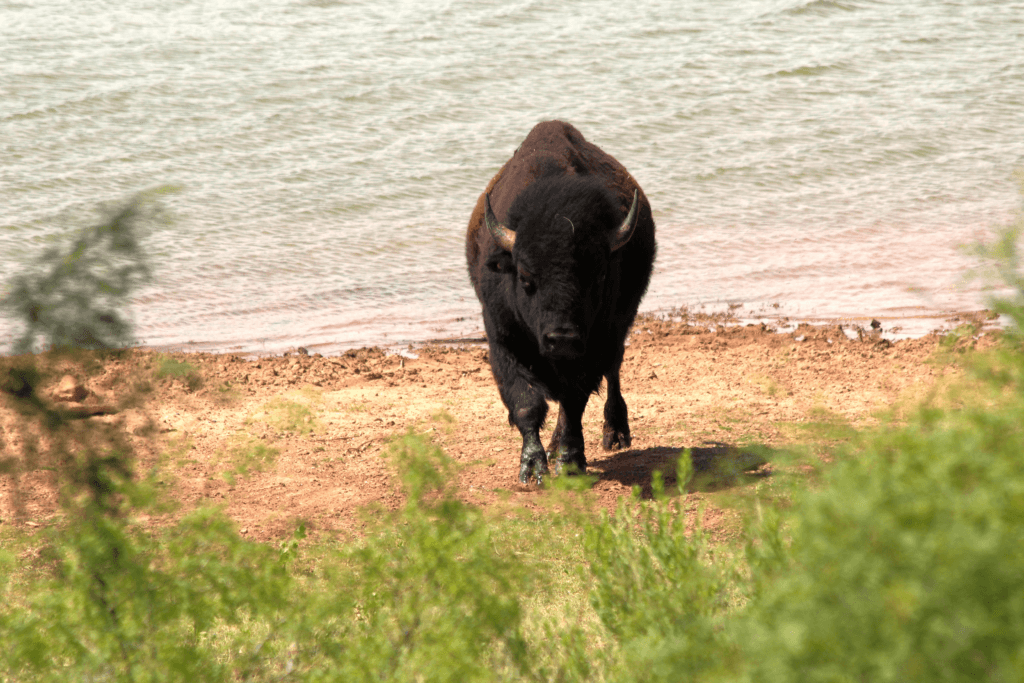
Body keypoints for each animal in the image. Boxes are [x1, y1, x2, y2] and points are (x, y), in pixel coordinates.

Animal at [468, 122, 659, 485]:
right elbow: (527, 403)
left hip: (618, 329)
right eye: (526, 278)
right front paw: (532, 468)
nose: (562, 338)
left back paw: (615, 433)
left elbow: (573, 403)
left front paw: (569, 462)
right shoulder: (503, 342)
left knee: (613, 371)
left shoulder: (592, 348)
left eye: (598, 275)